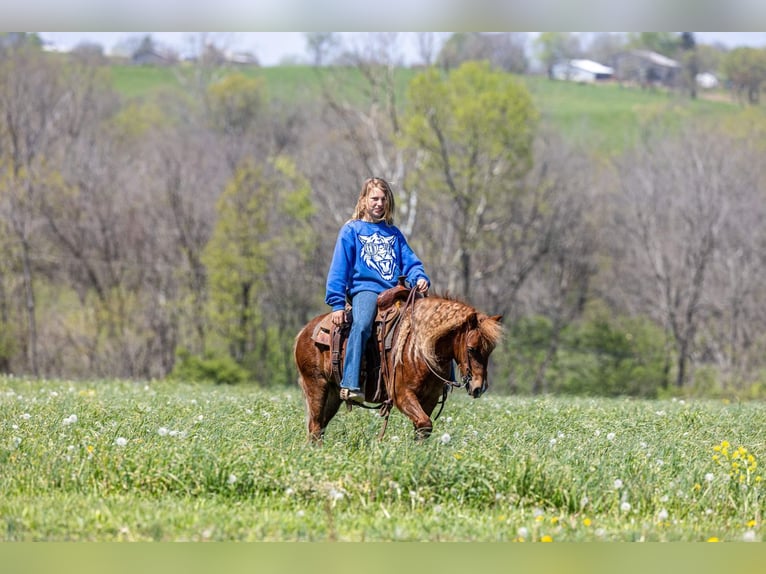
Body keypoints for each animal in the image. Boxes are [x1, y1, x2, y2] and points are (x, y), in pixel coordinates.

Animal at [294, 292, 503, 443]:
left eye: (490, 350)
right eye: (471, 349)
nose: (479, 388)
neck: (419, 348)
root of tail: (304, 331)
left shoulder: (429, 399)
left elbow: (422, 428)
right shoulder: (402, 395)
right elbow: (424, 423)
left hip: (333, 394)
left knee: (320, 427)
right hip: (316, 385)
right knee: (315, 427)